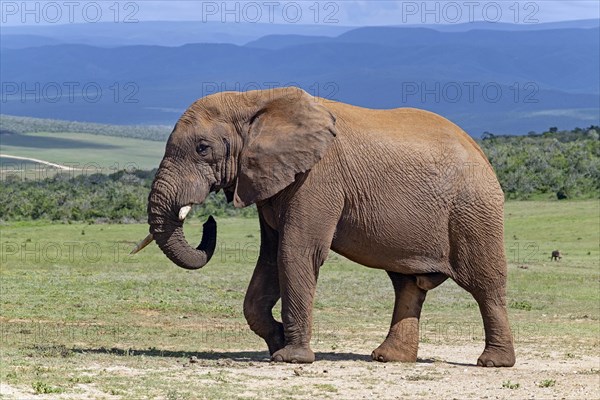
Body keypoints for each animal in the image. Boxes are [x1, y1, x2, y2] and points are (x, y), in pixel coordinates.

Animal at [132, 88, 516, 368]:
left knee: (484, 283)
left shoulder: (318, 177)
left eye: (202, 148)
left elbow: (295, 252)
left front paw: (290, 357)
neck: (254, 99)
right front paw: (277, 340)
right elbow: (269, 258)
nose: (207, 220)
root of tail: (482, 153)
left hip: (473, 209)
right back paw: (388, 358)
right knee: (407, 285)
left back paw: (493, 363)